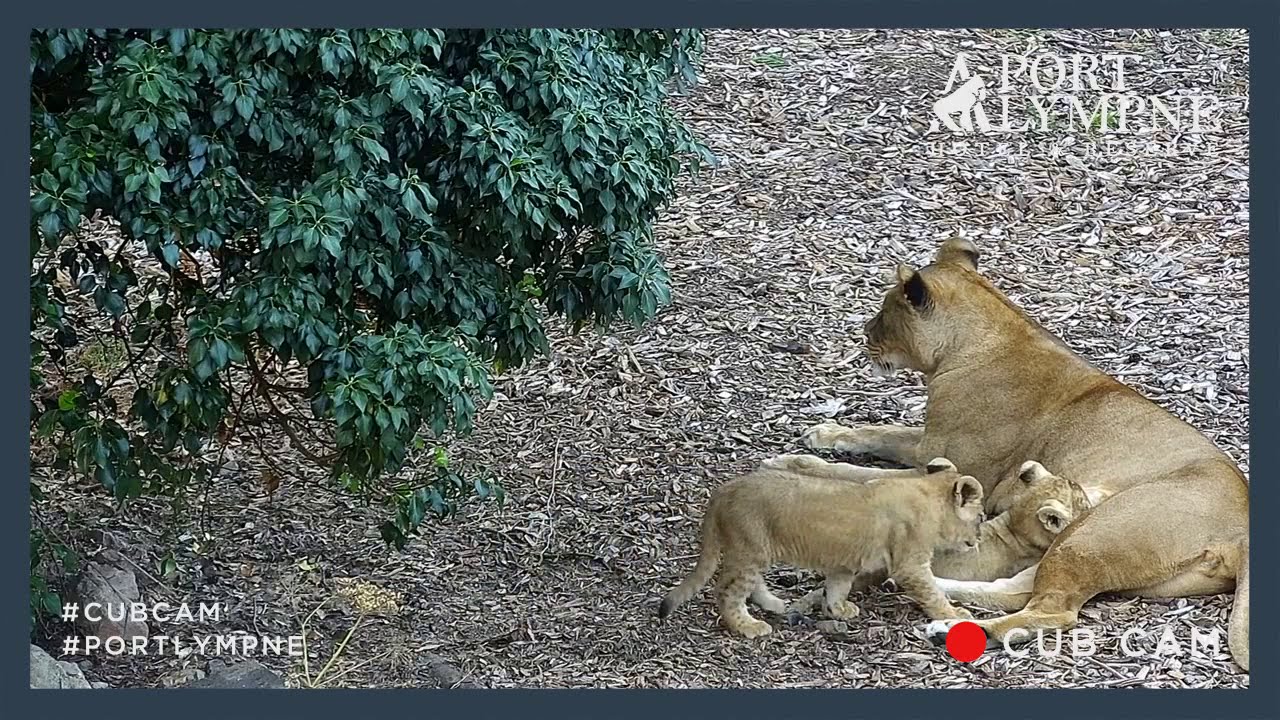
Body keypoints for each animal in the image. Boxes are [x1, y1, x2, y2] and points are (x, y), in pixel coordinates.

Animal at [656, 457, 984, 638]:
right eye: (980, 517)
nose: (978, 539)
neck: (930, 497)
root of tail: (724, 490)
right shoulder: (910, 565)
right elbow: (932, 592)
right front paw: (955, 614)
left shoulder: (845, 562)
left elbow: (838, 586)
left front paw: (838, 610)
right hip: (750, 547)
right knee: (727, 591)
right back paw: (747, 626)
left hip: (755, 551)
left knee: (751, 583)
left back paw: (775, 605)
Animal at [800, 236, 1250, 671]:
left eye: (884, 311)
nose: (864, 333)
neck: (972, 344)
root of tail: (1242, 527)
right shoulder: (931, 443)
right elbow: (879, 432)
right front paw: (825, 432)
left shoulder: (960, 468)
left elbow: (861, 475)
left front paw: (800, 463)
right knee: (1016, 589)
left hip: (1089, 534)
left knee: (1053, 611)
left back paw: (951, 630)